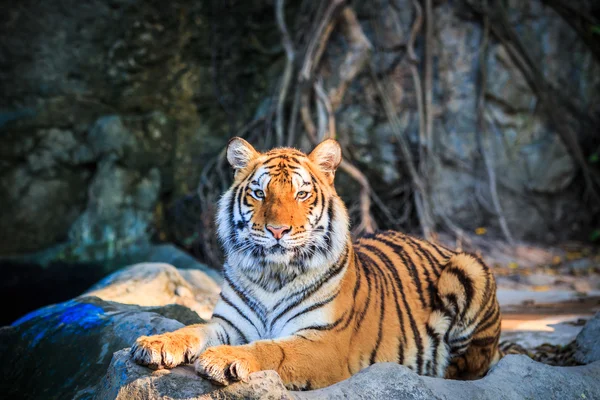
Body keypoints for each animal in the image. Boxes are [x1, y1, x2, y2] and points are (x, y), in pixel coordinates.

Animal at [130, 138, 502, 390]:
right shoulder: (229, 323)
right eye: (259, 193)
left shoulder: (323, 343)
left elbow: (272, 349)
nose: (277, 230)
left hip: (468, 268)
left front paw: (224, 358)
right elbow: (192, 329)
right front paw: (155, 343)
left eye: (302, 194)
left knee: (474, 363)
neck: (272, 275)